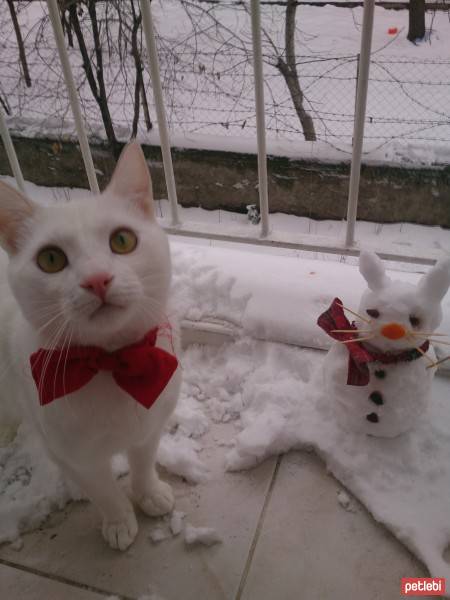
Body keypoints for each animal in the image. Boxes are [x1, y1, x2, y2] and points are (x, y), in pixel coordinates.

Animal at [0, 143, 181, 552]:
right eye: (50, 259)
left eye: (123, 240)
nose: (97, 279)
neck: (112, 363)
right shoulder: (72, 455)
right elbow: (102, 490)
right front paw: (118, 522)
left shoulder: (150, 425)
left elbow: (143, 462)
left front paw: (149, 494)